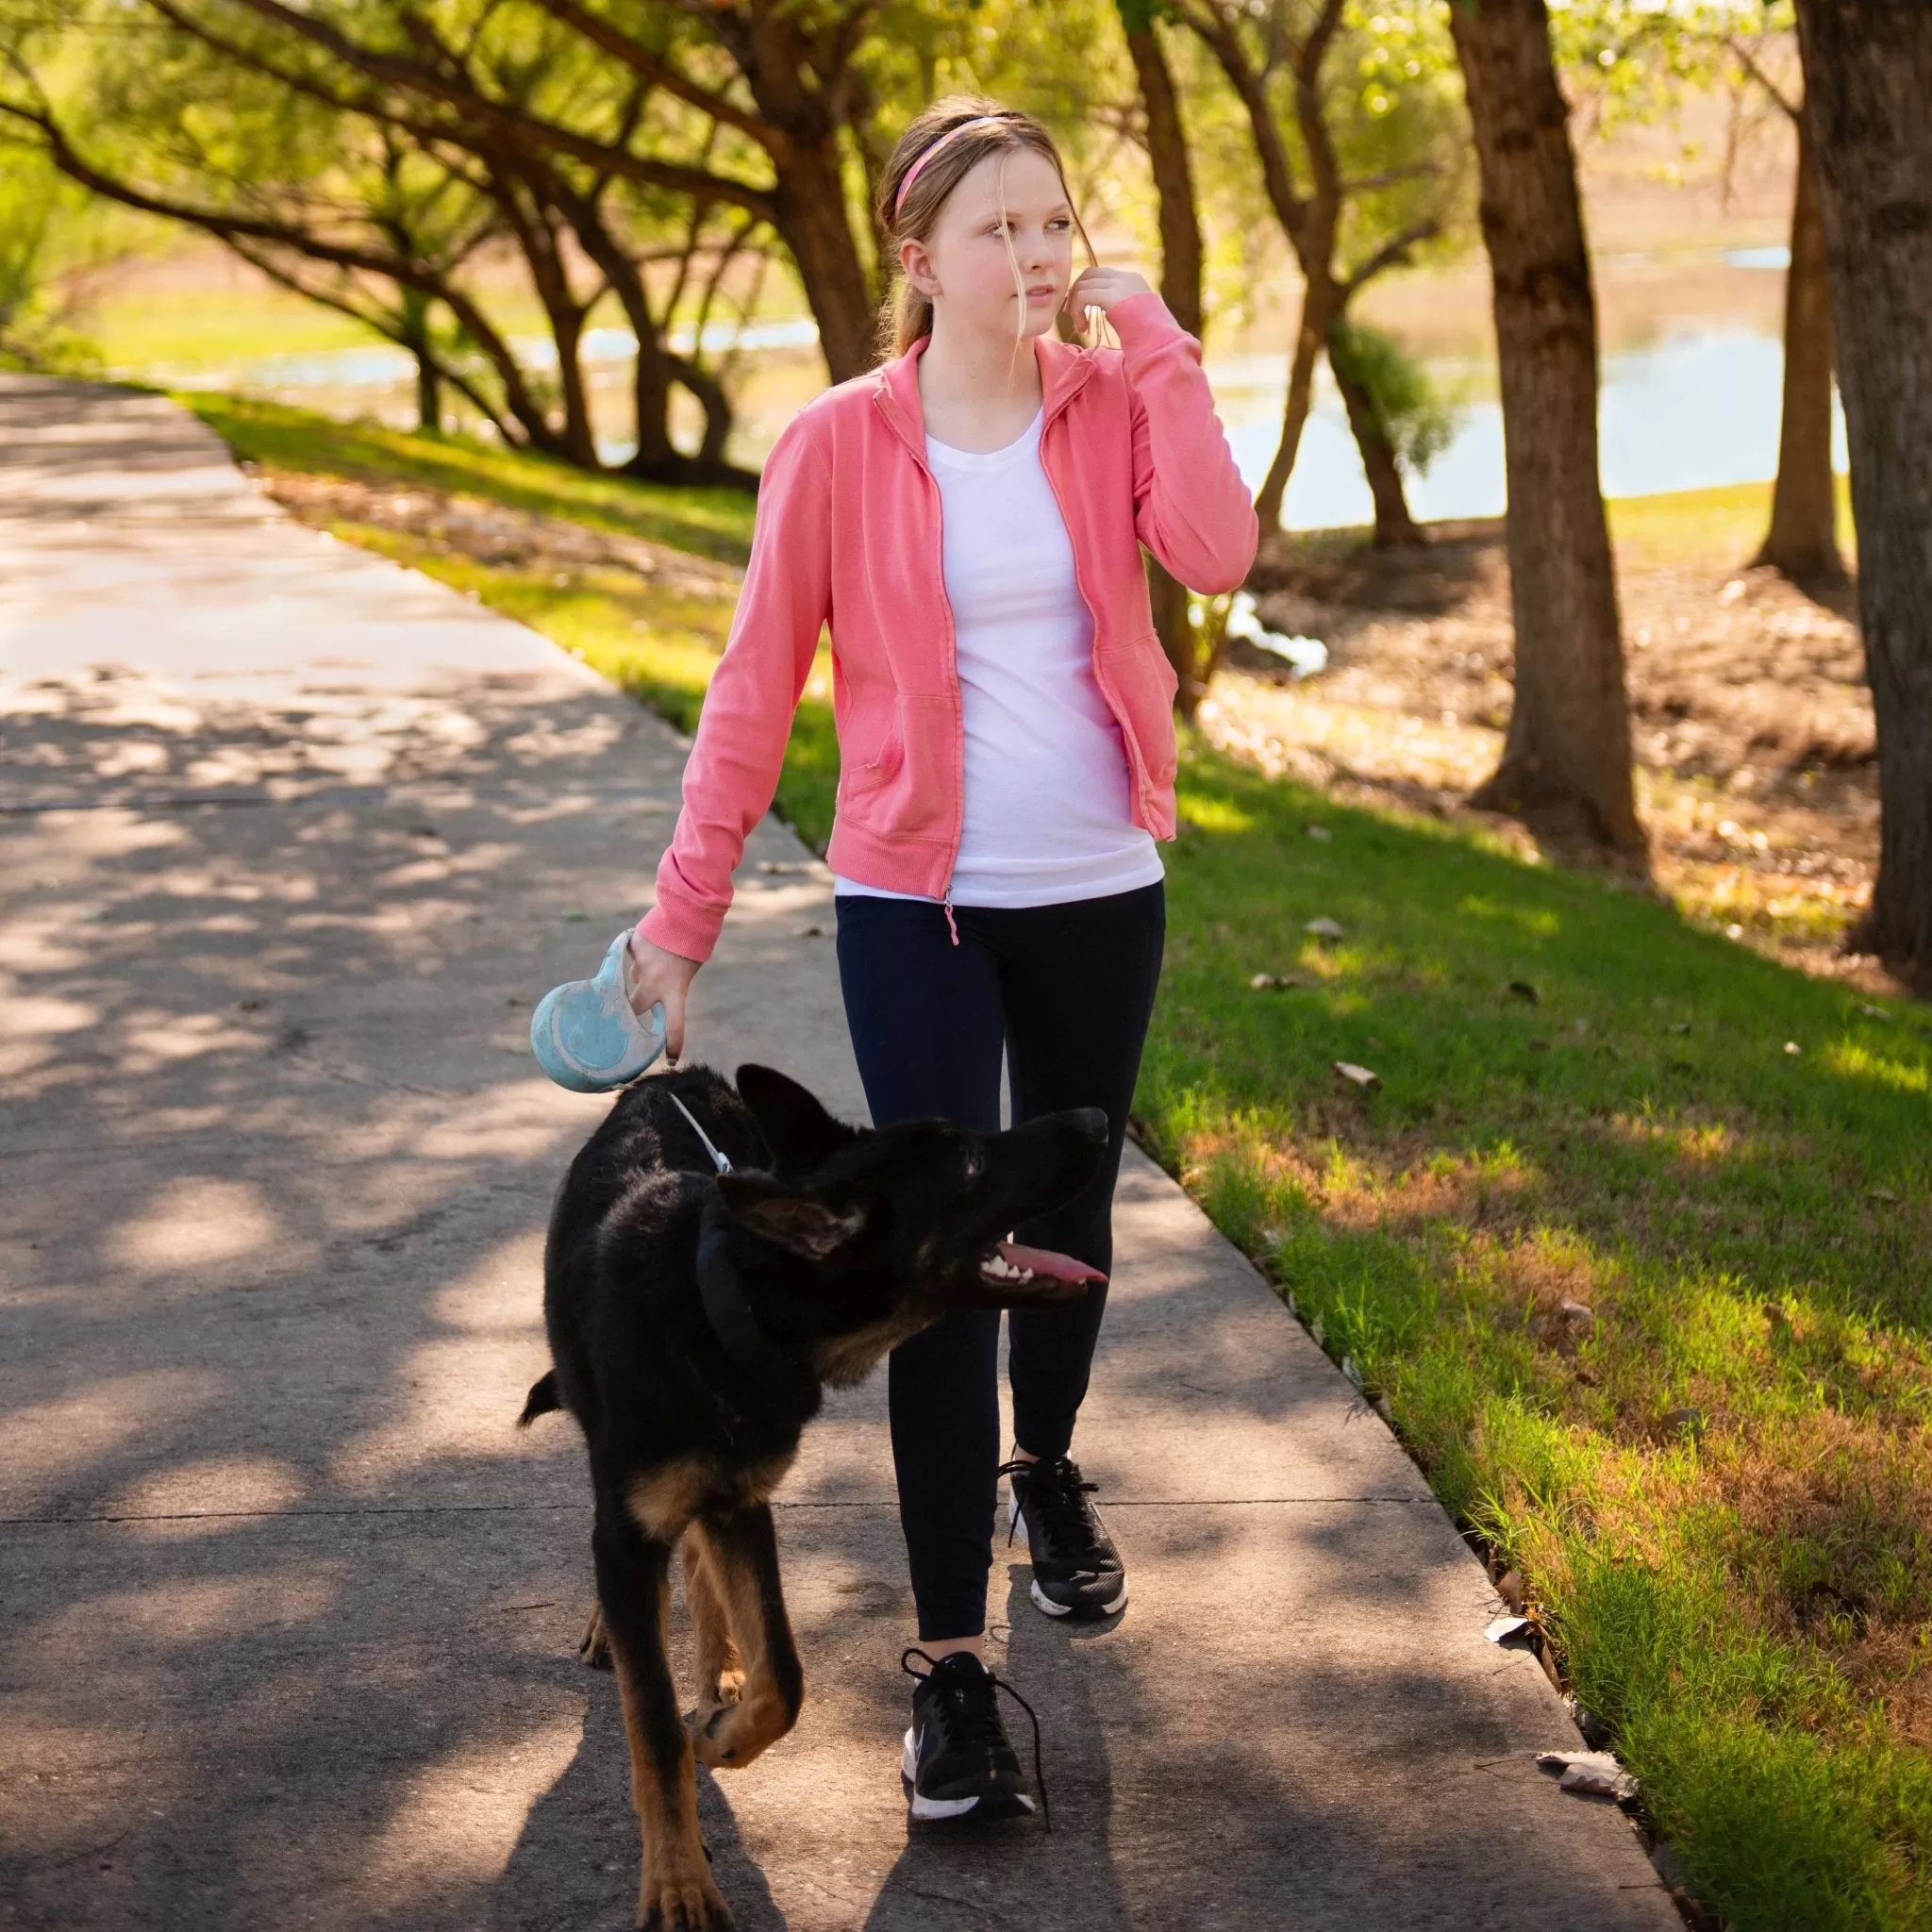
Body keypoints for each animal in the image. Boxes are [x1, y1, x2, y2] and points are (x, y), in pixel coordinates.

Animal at [521, 1066, 1112, 1932]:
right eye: (969, 1162)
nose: (1100, 1118)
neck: (719, 1305)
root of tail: (674, 1074)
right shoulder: (635, 1525)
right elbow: (654, 1726)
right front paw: (677, 1884)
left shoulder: (743, 1505)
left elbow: (787, 1677)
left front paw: (725, 1736)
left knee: (697, 1567)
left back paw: (719, 1668)